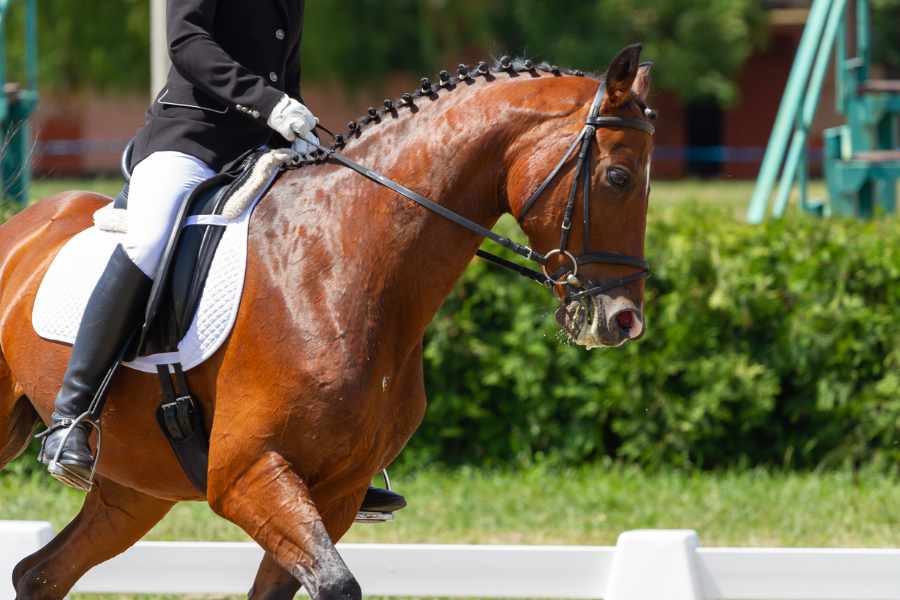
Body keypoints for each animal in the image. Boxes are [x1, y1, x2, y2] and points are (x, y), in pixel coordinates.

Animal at [0, 44, 654, 599]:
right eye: (618, 179)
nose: (624, 321)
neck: (341, 260)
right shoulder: (247, 475)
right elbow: (336, 583)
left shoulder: (337, 492)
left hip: (134, 488)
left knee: (39, 574)